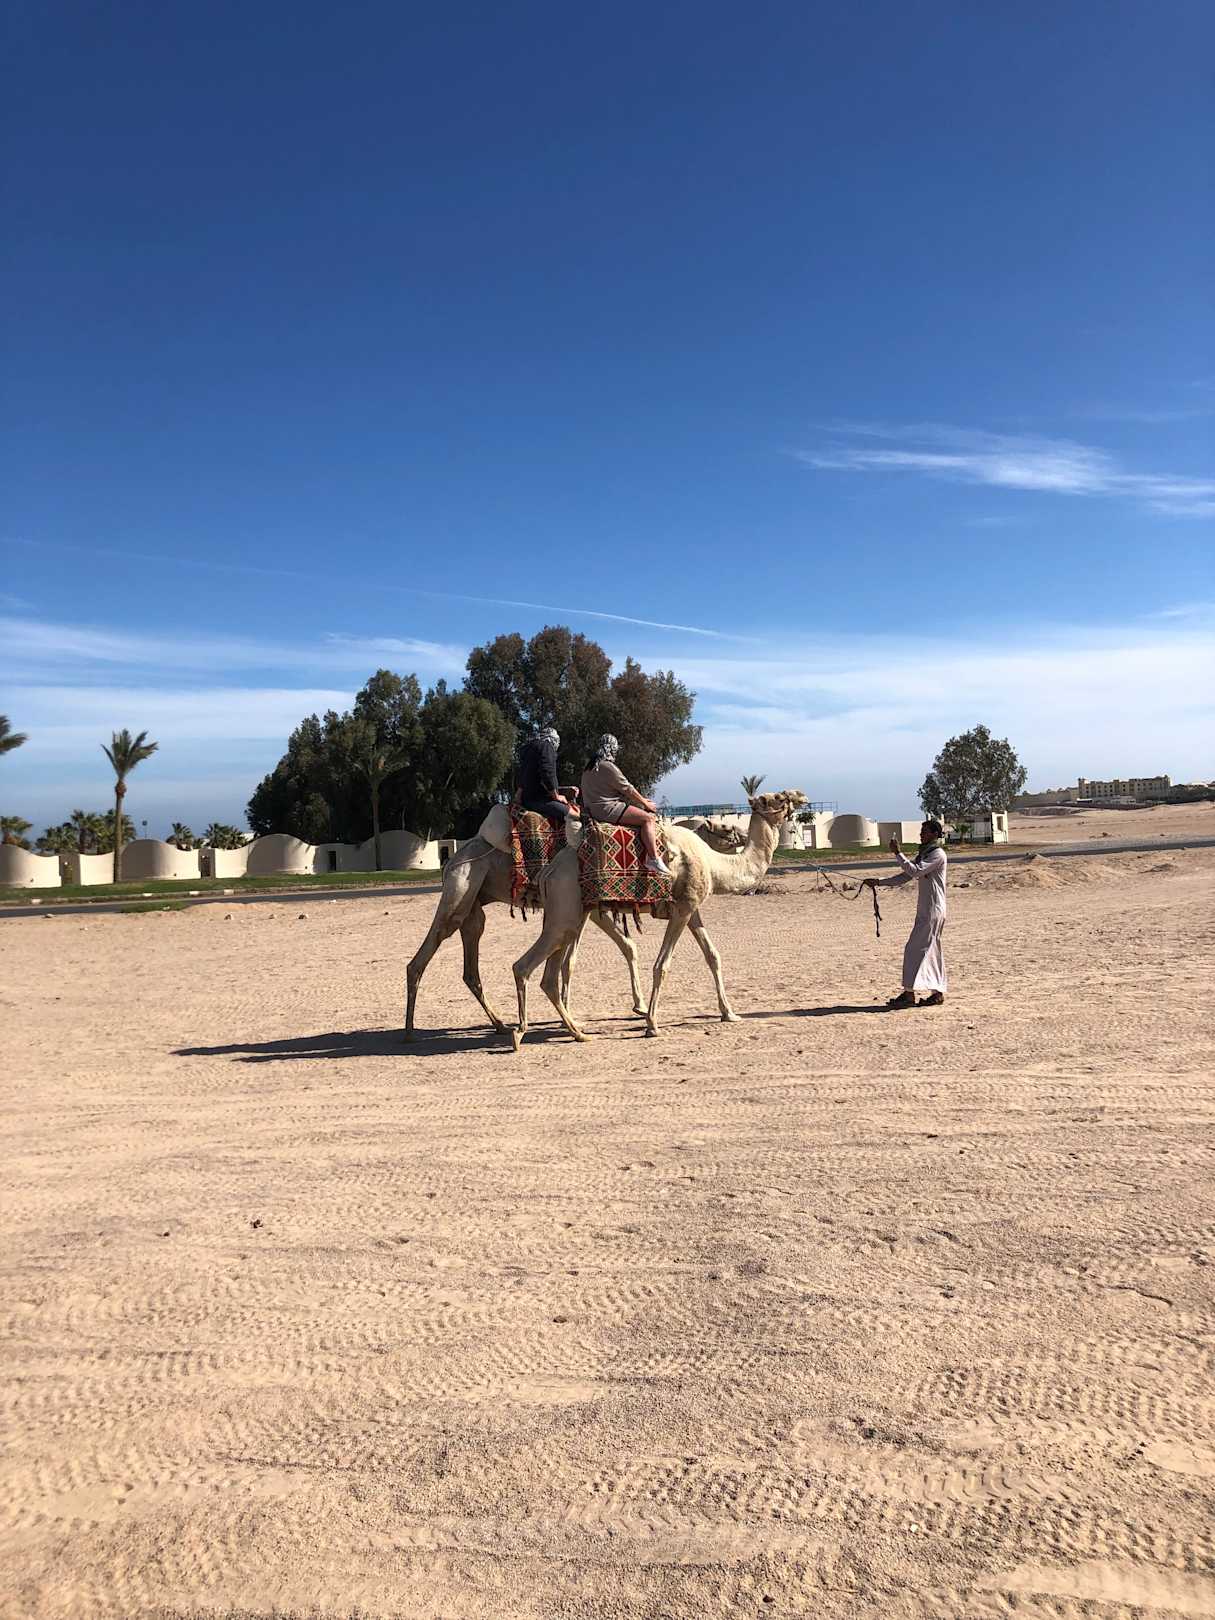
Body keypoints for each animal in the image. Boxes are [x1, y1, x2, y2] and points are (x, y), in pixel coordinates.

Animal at [404, 836, 648, 1042]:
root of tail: (450, 862)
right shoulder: (587, 904)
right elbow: (574, 961)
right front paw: (639, 1008)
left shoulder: (586, 907)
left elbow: (624, 947)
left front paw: (638, 1007)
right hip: (460, 892)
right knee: (422, 957)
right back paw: (409, 1032)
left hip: (473, 910)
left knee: (470, 970)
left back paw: (500, 1025)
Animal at [511, 789, 808, 1045]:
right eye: (777, 797)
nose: (801, 796)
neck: (713, 863)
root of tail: (549, 871)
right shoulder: (682, 909)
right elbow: (662, 965)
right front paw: (652, 1025)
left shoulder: (692, 909)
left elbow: (712, 956)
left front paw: (730, 1013)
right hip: (567, 911)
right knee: (524, 966)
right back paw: (521, 1033)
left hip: (570, 916)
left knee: (551, 974)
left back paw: (576, 1032)